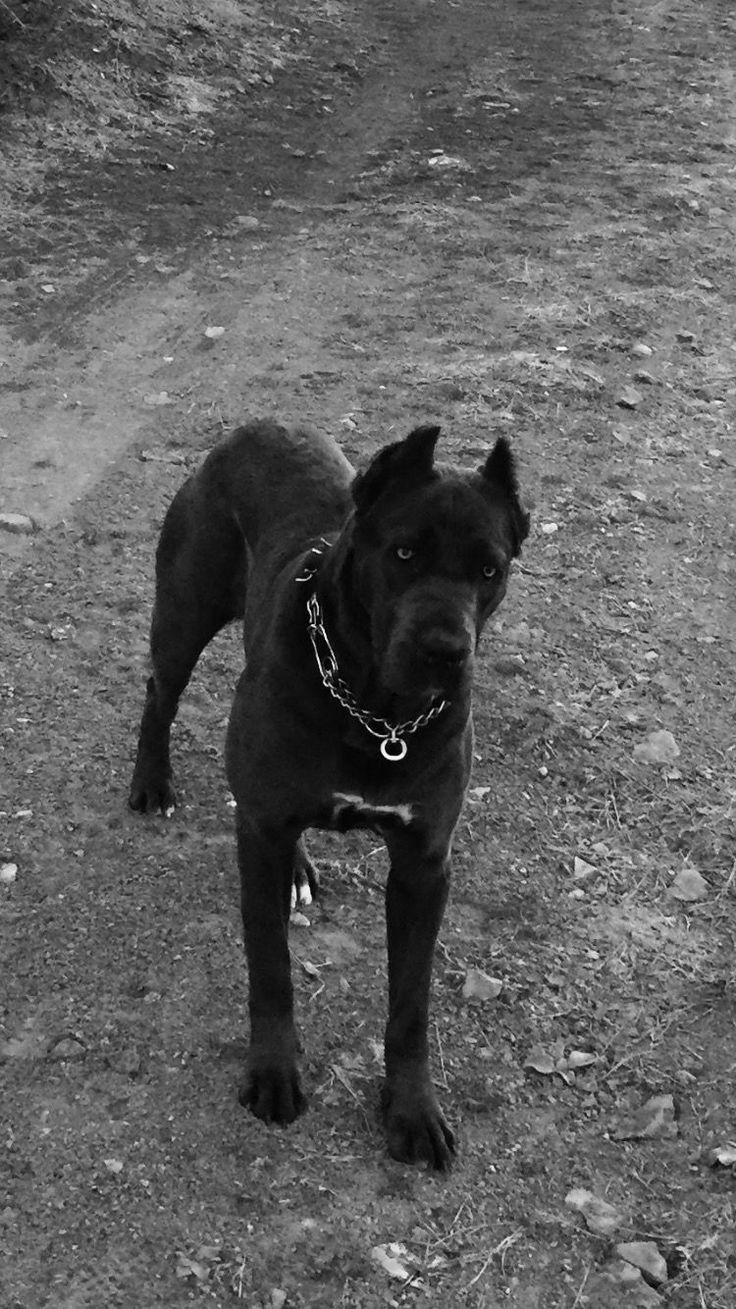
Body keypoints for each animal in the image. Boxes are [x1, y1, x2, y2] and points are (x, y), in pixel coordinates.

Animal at [130, 418, 526, 1167]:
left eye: (490, 570)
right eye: (404, 551)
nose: (444, 650)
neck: (377, 712)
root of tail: (255, 426)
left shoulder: (424, 864)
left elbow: (410, 1004)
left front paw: (413, 1109)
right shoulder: (259, 835)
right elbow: (271, 968)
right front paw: (274, 1073)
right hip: (184, 613)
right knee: (159, 693)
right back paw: (151, 781)